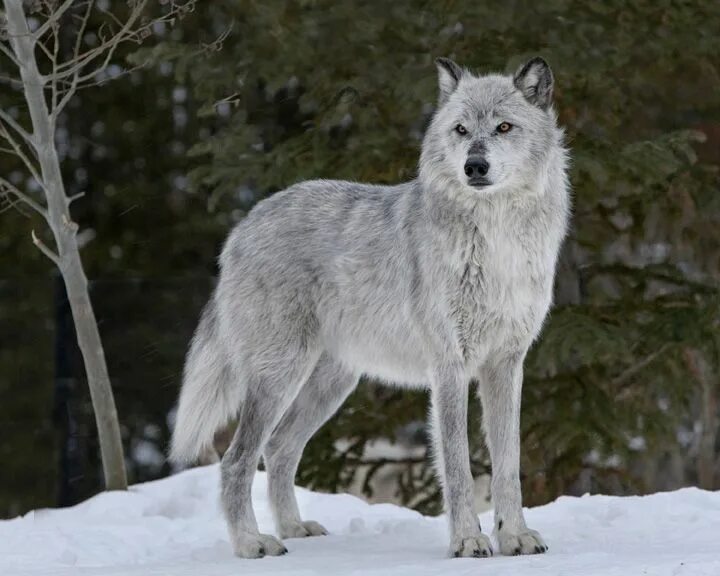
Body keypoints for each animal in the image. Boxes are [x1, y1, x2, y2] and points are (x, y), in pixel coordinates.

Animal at [172, 56, 572, 560]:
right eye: (461, 130)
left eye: (503, 127)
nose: (474, 166)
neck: (495, 238)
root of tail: (241, 228)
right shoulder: (449, 368)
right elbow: (458, 467)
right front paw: (467, 541)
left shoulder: (507, 365)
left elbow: (507, 464)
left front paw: (514, 537)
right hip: (280, 376)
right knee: (236, 459)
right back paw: (252, 544)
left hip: (330, 385)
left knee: (278, 449)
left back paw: (294, 529)